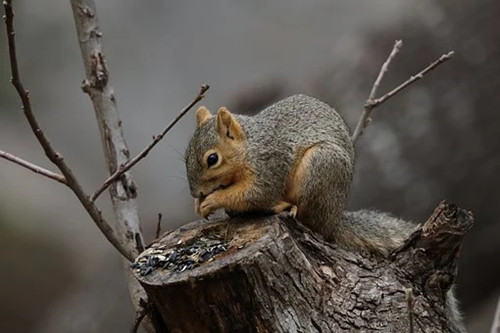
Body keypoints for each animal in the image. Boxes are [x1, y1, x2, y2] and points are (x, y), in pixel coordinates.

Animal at [186, 93, 466, 330]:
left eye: (212, 159)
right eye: (187, 156)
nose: (196, 193)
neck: (249, 146)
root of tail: (334, 219)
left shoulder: (269, 165)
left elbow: (256, 194)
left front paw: (213, 200)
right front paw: (200, 205)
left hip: (319, 166)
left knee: (310, 220)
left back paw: (285, 206)